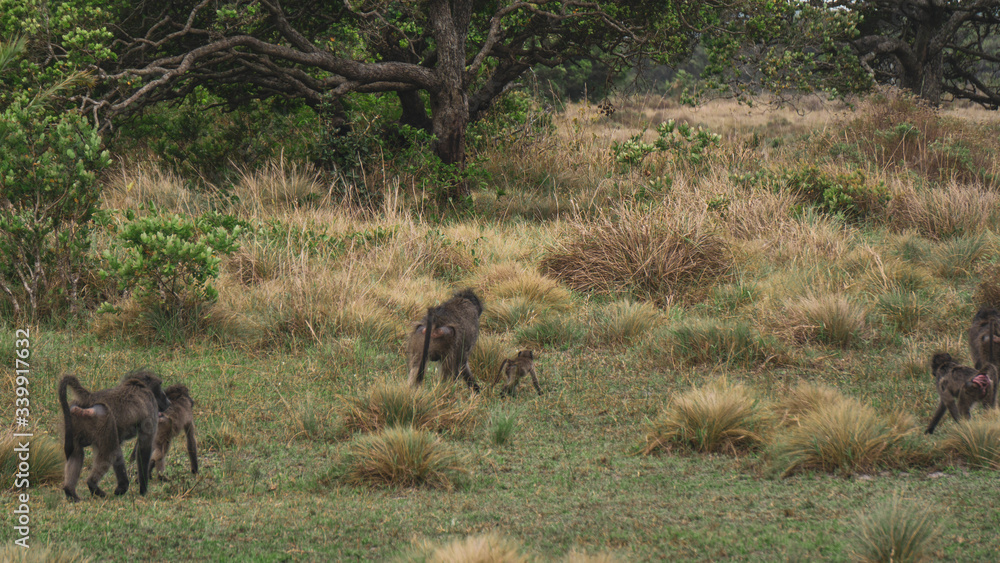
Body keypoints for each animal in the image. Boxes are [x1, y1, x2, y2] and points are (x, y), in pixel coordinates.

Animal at [59, 369, 171, 501]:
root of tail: (90, 398)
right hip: (103, 418)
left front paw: (122, 487)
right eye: (160, 385)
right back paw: (92, 485)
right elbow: (143, 447)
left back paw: (71, 493)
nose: (168, 401)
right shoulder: (150, 405)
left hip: (73, 420)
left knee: (77, 454)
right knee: (108, 452)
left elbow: (118, 452)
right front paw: (143, 490)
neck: (138, 384)